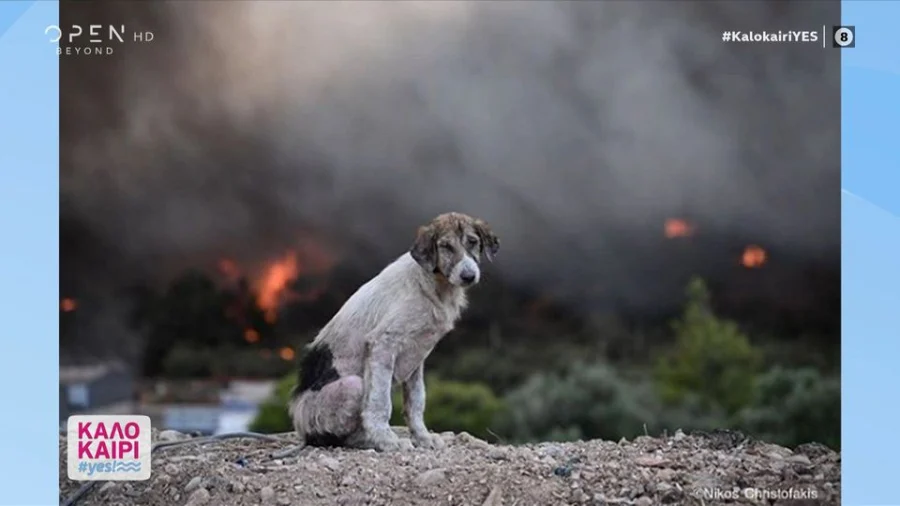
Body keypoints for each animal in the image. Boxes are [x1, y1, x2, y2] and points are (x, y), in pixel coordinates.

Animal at [288, 211, 500, 452]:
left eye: (473, 242)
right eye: (445, 246)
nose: (468, 276)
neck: (433, 284)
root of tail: (302, 430)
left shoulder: (417, 355)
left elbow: (416, 401)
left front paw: (423, 438)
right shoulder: (383, 343)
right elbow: (379, 403)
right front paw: (387, 441)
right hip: (352, 386)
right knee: (337, 437)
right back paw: (368, 440)